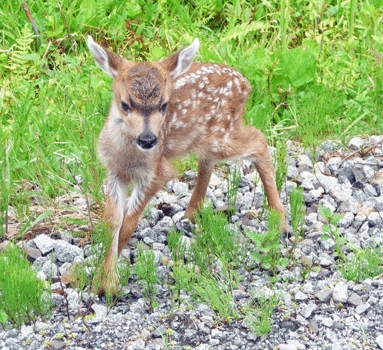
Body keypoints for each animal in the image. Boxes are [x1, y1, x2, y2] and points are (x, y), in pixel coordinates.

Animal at [88, 35, 288, 294]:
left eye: (164, 105)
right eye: (125, 104)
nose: (148, 139)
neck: (128, 159)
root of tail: (245, 83)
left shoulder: (157, 172)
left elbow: (128, 225)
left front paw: (108, 285)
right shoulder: (113, 171)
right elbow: (112, 222)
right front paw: (98, 281)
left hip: (220, 136)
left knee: (259, 139)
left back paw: (281, 223)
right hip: (207, 137)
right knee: (210, 161)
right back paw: (190, 214)